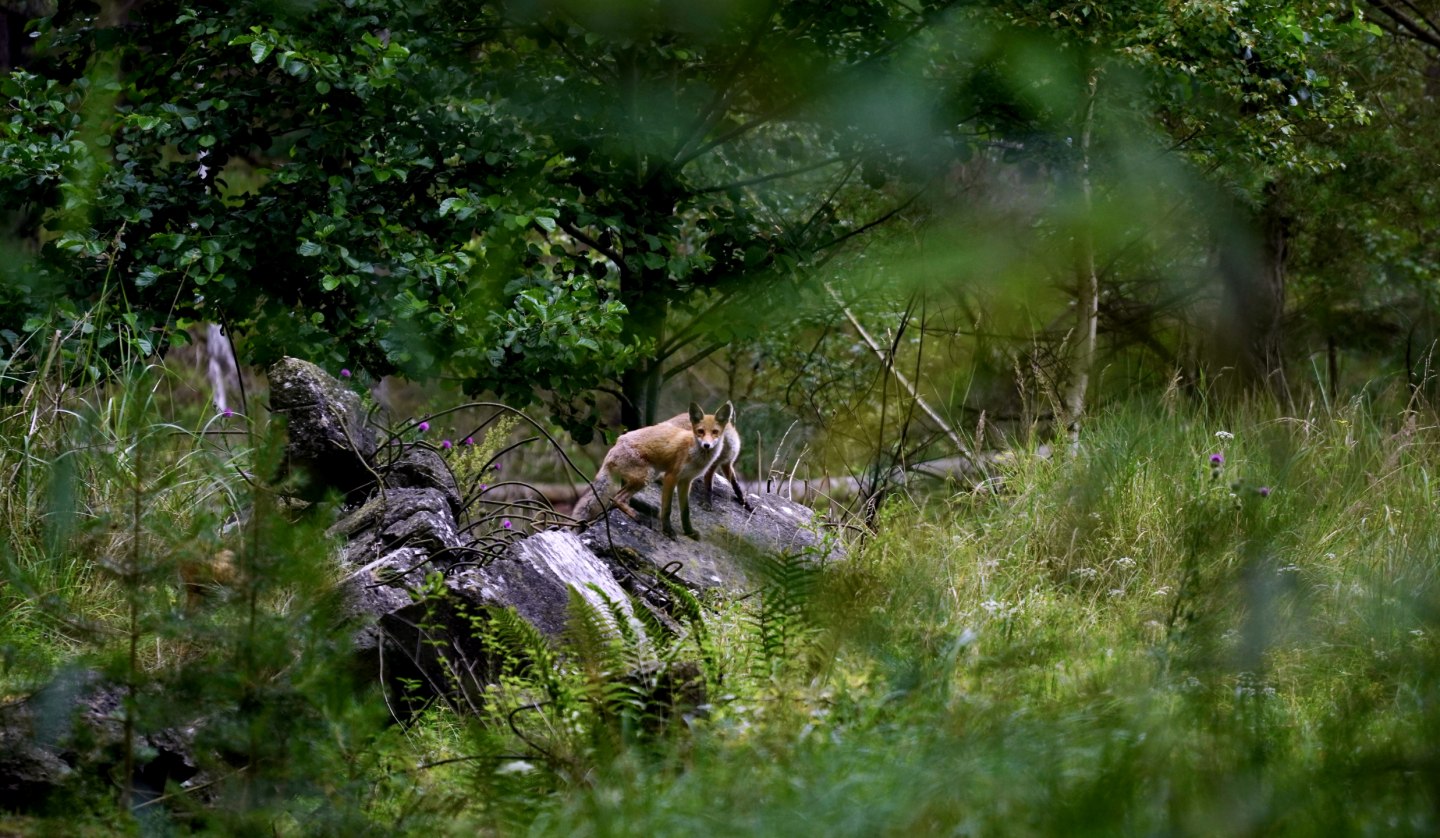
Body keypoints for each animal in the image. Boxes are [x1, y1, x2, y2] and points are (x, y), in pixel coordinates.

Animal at [596, 403, 731, 541]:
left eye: (715, 432)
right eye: (700, 431)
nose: (706, 445)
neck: (695, 455)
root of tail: (615, 446)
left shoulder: (686, 481)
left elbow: (685, 512)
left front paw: (689, 531)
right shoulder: (671, 476)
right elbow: (667, 509)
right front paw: (667, 531)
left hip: (648, 476)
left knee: (616, 498)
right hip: (647, 475)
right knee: (617, 498)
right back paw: (639, 517)